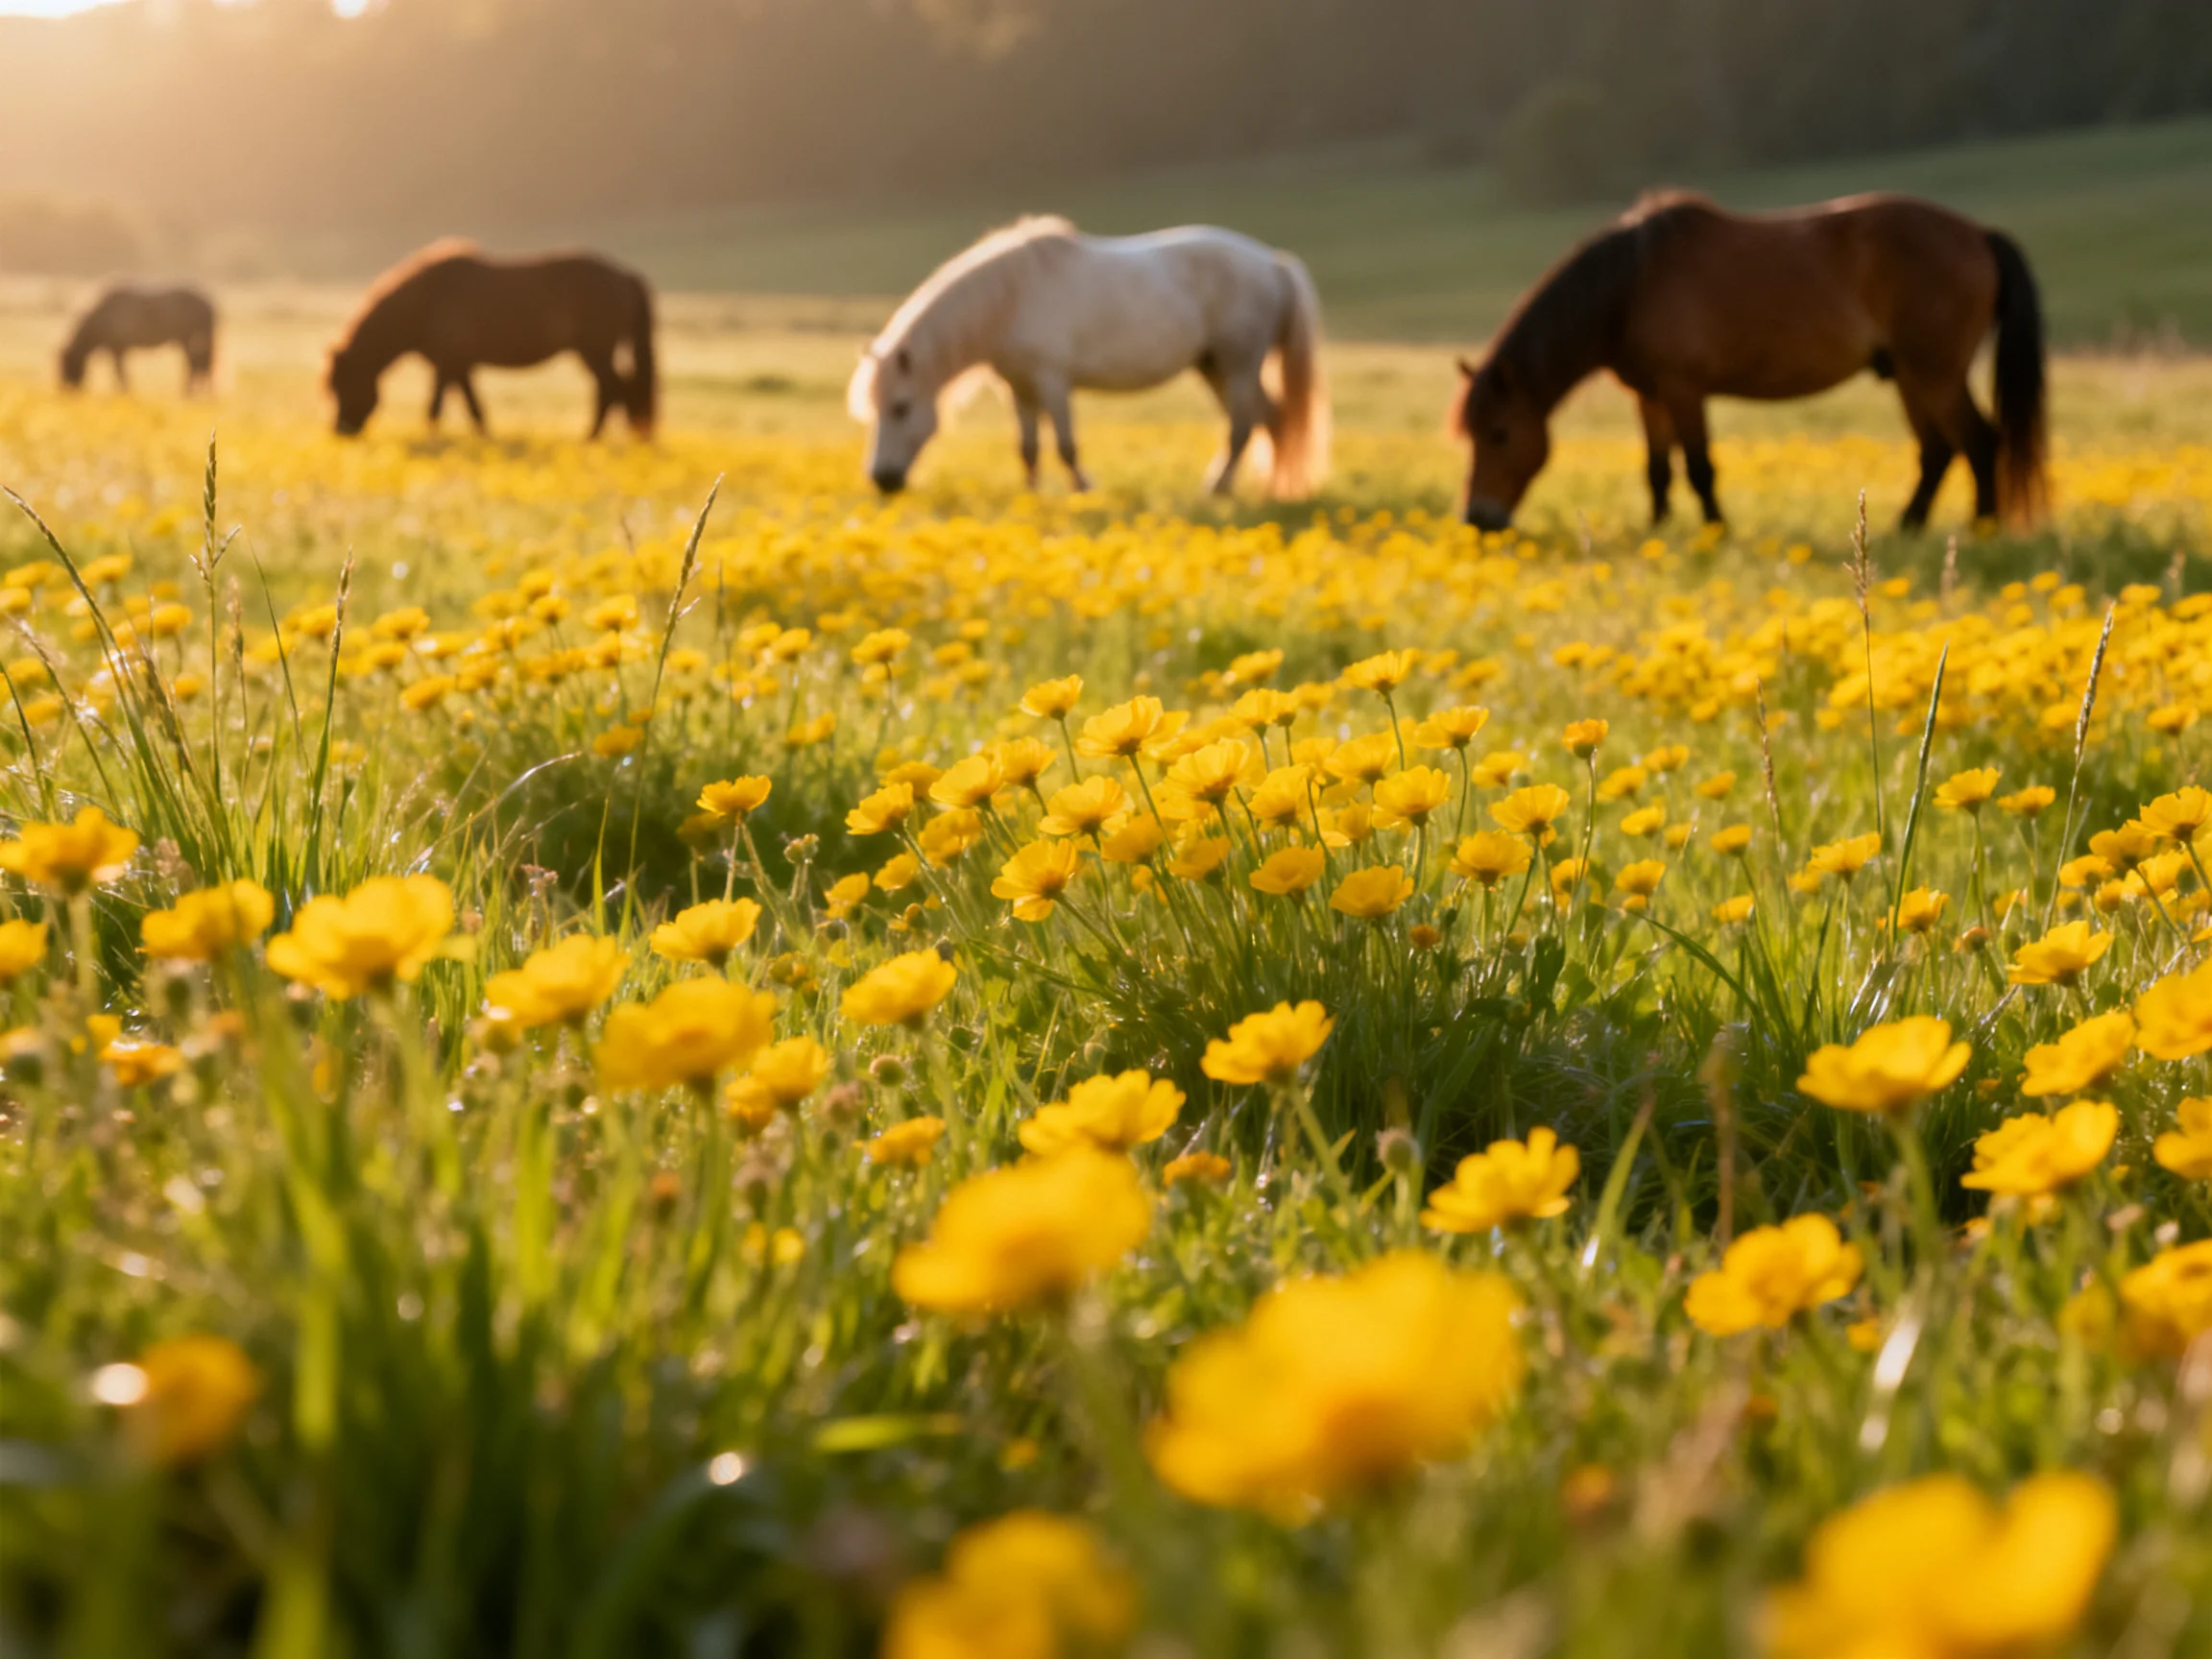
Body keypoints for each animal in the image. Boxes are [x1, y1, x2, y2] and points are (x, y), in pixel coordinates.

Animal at [59, 286, 217, 393]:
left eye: (66, 362)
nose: (65, 387)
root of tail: (209, 303)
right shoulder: (118, 350)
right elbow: (121, 372)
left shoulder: (118, 349)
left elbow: (120, 373)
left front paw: (124, 391)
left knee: (200, 366)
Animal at [326, 241, 657, 439]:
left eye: (343, 385)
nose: (340, 431)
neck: (426, 302)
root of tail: (626, 276)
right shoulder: (460, 364)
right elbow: (474, 407)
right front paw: (485, 438)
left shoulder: (447, 362)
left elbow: (435, 405)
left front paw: (432, 438)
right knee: (617, 389)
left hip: (595, 349)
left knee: (612, 389)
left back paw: (591, 438)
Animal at [848, 216, 1329, 499]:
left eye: (900, 407)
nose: (881, 480)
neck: (1011, 298)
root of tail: (1273, 263)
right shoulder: (1018, 387)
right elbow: (1027, 448)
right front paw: (1031, 495)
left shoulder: (1051, 380)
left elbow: (1065, 444)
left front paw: (1082, 488)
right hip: (1214, 367)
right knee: (1272, 419)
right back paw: (1268, 489)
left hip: (1239, 363)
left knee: (1243, 427)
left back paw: (1216, 489)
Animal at [1451, 192, 2048, 533]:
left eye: (1500, 434)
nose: (1478, 520)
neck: (1631, 286)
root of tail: (1979, 235)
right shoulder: (1649, 394)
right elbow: (1657, 470)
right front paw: (1658, 530)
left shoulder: (1683, 388)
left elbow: (1699, 467)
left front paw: (1716, 530)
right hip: (1908, 374)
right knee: (1938, 451)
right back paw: (1908, 526)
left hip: (1935, 372)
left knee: (1979, 441)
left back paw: (1982, 528)